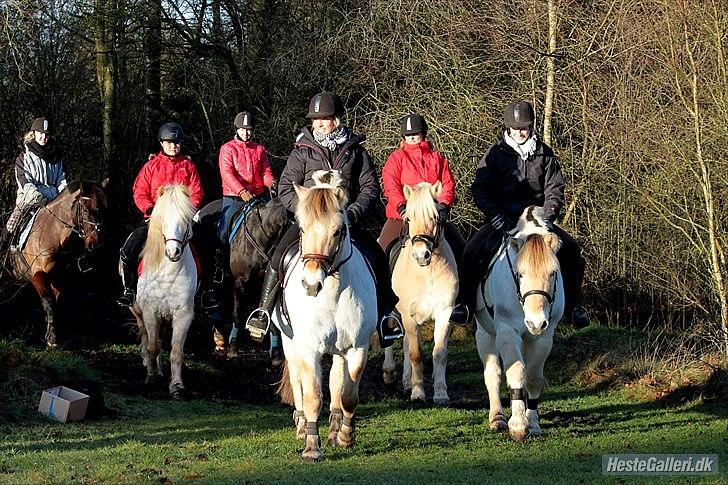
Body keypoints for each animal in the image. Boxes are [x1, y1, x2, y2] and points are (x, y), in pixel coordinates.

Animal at [6, 180, 106, 346]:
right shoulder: (38, 275)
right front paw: (52, 338)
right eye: (86, 210)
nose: (95, 243)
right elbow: (48, 302)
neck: (53, 235)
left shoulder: (59, 277)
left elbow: (56, 302)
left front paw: (52, 334)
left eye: (105, 208)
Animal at [127, 183, 196, 398]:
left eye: (185, 219)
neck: (168, 270)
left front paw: (176, 386)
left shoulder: (183, 314)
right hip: (137, 310)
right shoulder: (150, 311)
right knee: (146, 336)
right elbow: (152, 347)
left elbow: (176, 352)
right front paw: (150, 378)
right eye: (162, 219)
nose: (173, 252)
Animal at [272, 170, 376, 462]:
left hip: (339, 351)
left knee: (337, 383)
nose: (311, 284)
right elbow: (313, 396)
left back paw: (334, 428)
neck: (332, 293)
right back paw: (300, 425)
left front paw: (345, 436)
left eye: (338, 230)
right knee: (297, 380)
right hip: (290, 343)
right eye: (302, 228)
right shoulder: (309, 349)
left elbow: (347, 394)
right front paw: (311, 446)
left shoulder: (357, 347)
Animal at [382, 180, 456, 402]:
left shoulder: (444, 312)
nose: (421, 255)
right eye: (409, 217)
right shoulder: (408, 314)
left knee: (406, 342)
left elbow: (439, 353)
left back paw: (407, 381)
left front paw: (440, 393)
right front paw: (418, 393)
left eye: (436, 217)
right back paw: (390, 374)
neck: (426, 272)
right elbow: (416, 353)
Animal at [474, 206, 564, 440]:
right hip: (485, 333)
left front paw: (532, 423)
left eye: (553, 273)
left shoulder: (544, 336)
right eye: (519, 274)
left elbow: (532, 377)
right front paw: (517, 425)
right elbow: (515, 371)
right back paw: (497, 418)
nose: (535, 322)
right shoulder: (507, 331)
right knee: (493, 374)